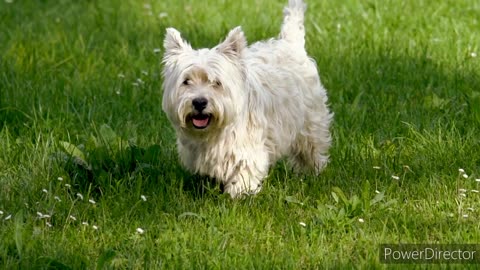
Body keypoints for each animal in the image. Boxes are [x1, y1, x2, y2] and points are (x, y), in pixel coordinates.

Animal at [163, 0, 332, 198]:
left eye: (216, 82)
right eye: (186, 81)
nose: (199, 102)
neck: (213, 134)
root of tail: (290, 43)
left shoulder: (246, 150)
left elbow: (243, 174)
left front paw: (238, 196)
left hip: (309, 123)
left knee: (312, 149)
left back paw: (313, 172)